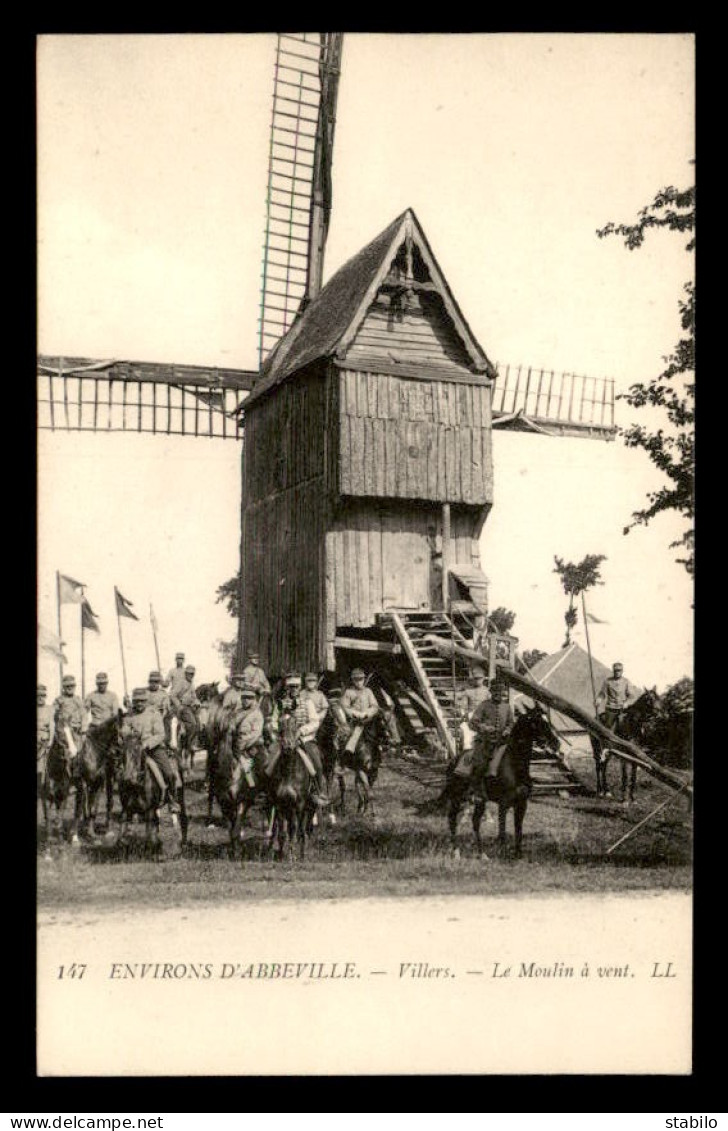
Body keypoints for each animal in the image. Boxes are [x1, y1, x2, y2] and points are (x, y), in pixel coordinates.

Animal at [445, 701, 560, 859]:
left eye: (547, 720)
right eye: (536, 722)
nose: (556, 743)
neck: (514, 764)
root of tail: (454, 760)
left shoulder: (522, 803)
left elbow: (518, 829)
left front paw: (518, 854)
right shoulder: (503, 803)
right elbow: (502, 830)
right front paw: (503, 854)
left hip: (480, 801)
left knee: (475, 822)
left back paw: (482, 854)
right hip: (456, 797)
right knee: (452, 819)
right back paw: (456, 852)